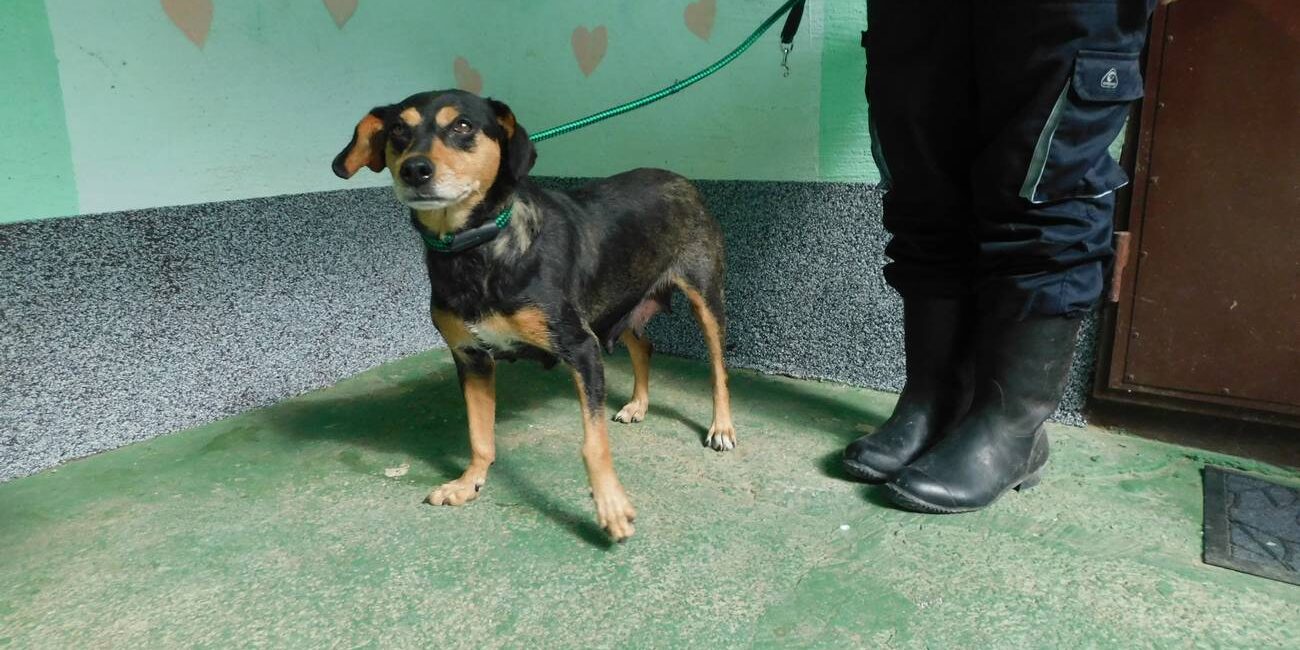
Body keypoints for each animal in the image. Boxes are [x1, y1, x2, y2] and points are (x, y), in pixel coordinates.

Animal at [332, 90, 734, 541]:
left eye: (463, 126)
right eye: (399, 130)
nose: (414, 169)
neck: (476, 250)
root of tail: (680, 179)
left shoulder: (581, 347)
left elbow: (593, 444)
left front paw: (611, 505)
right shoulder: (472, 358)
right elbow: (479, 436)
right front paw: (469, 482)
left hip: (703, 297)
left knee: (718, 369)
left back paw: (721, 427)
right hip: (616, 300)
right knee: (643, 345)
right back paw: (638, 404)